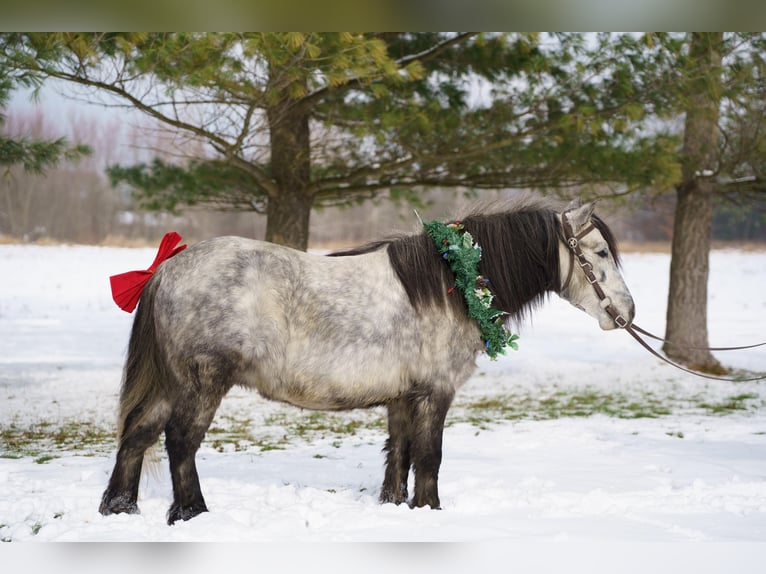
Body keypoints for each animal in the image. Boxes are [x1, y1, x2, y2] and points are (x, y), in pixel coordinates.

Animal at [98, 195, 635, 525]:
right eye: (600, 252)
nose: (627, 313)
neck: (456, 284)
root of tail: (166, 270)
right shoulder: (435, 392)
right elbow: (429, 456)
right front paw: (431, 510)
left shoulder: (403, 397)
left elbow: (399, 455)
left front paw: (398, 508)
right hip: (203, 382)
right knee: (179, 441)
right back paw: (192, 513)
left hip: (172, 383)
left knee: (138, 434)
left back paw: (120, 508)